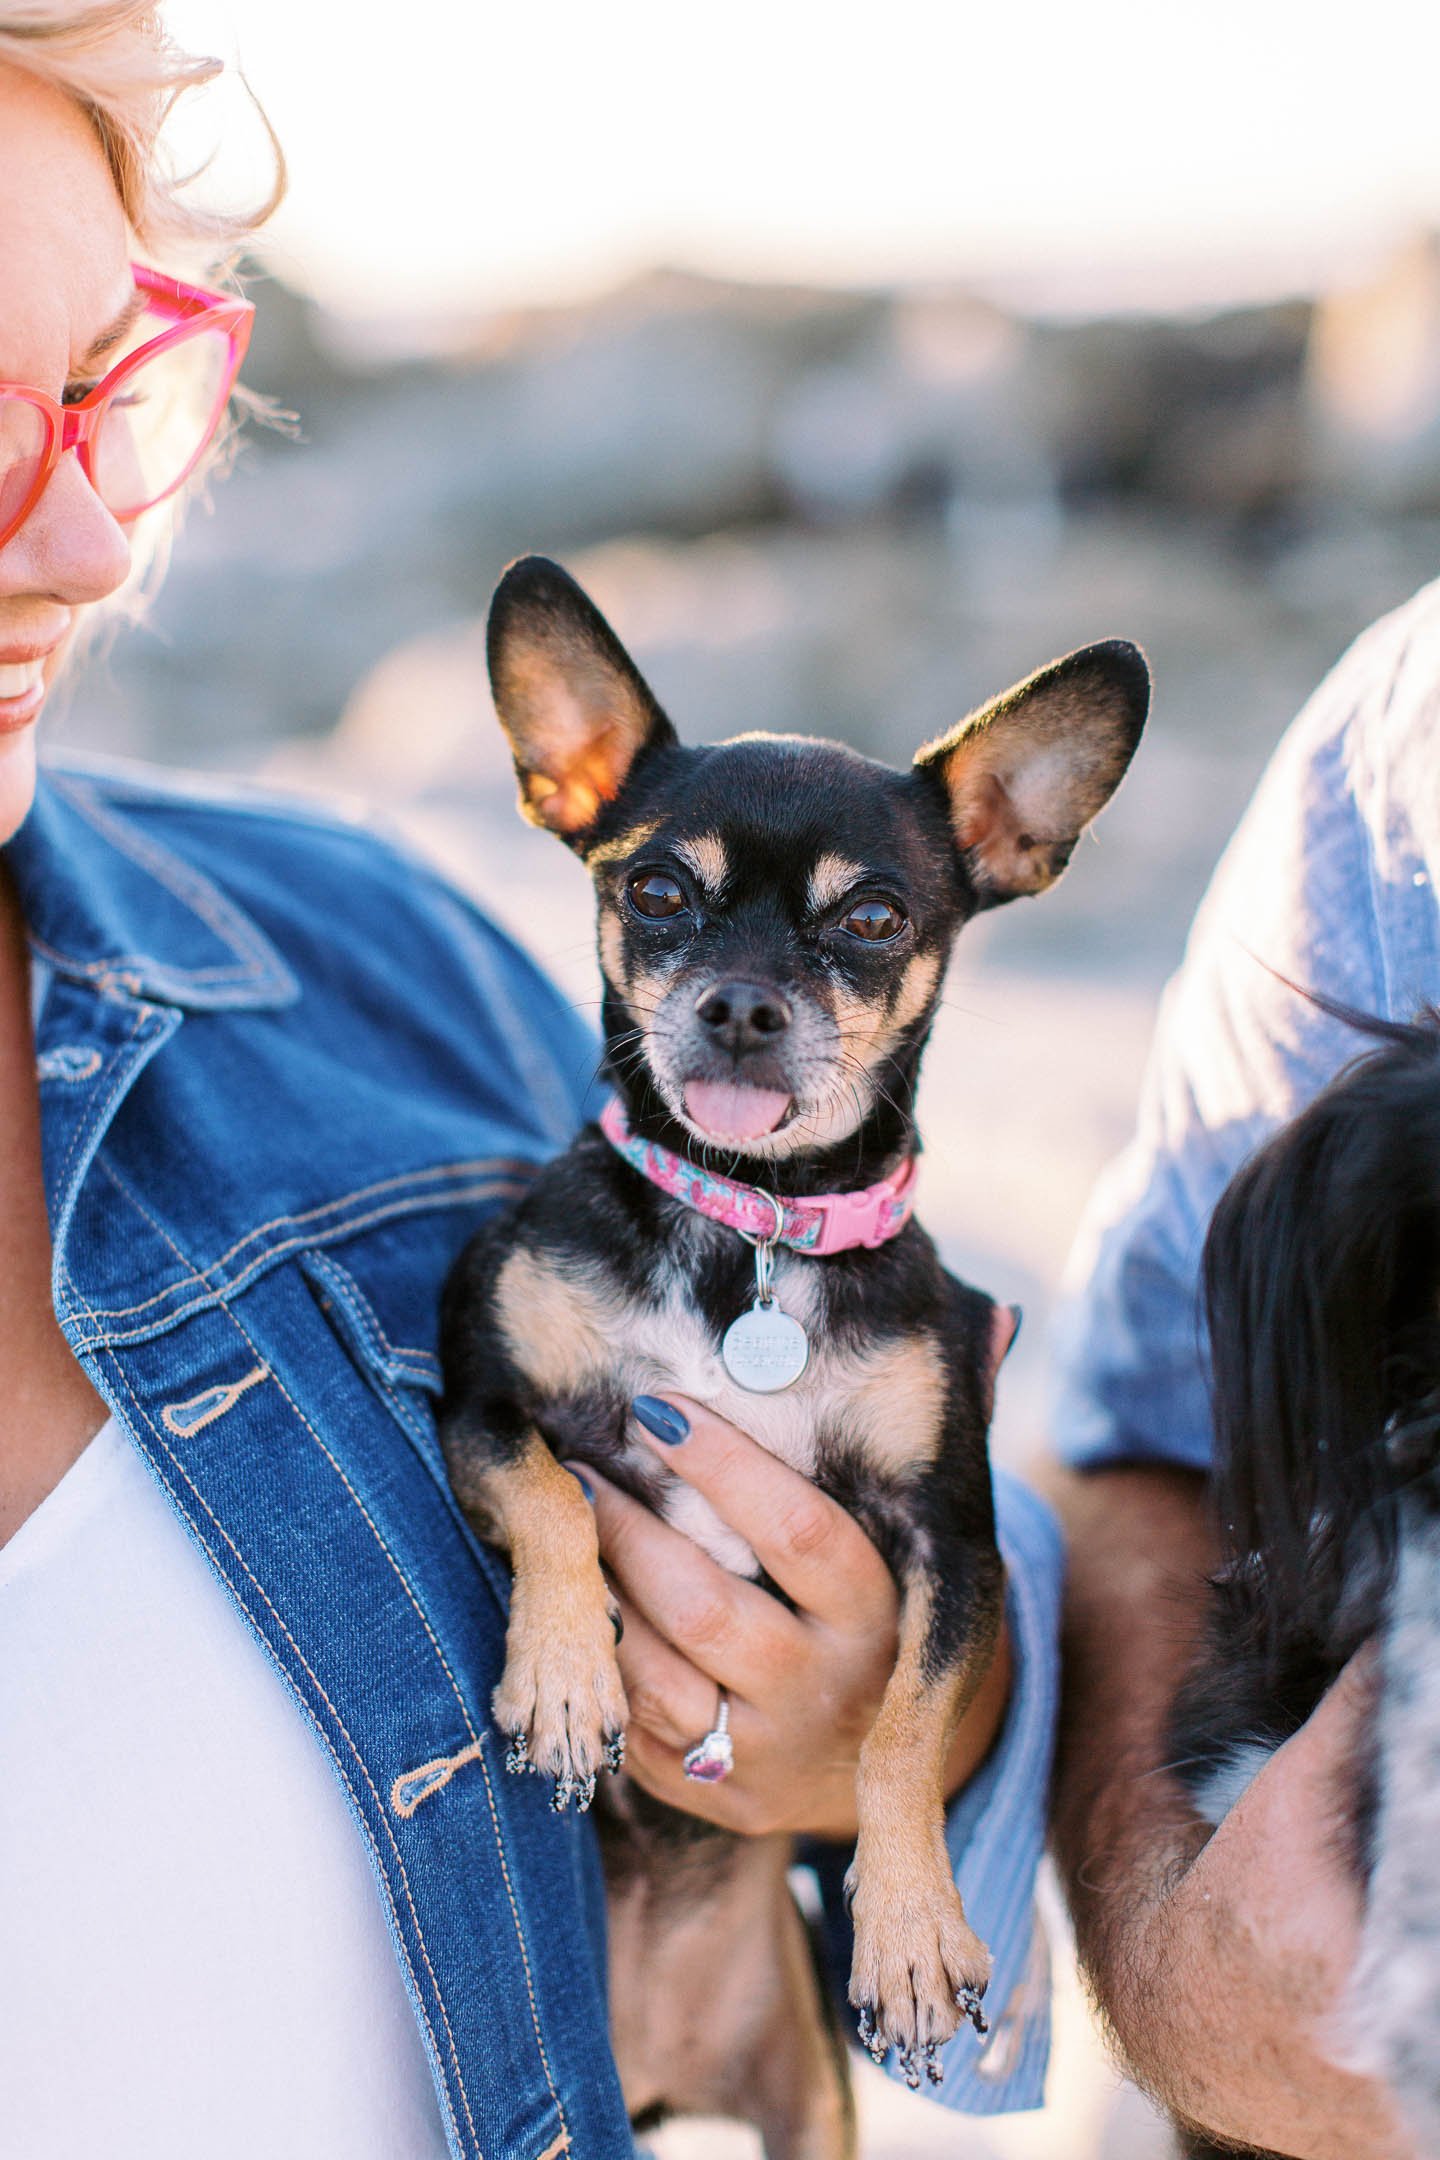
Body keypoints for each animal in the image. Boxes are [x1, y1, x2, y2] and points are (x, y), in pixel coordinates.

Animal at [440, 561, 1148, 2160]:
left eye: (875, 917)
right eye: (656, 891)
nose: (744, 1006)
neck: (745, 1223)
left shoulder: (951, 1539)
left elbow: (901, 1735)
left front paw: (911, 1930)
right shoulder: (482, 1399)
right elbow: (555, 1502)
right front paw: (565, 1678)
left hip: (808, 2107)